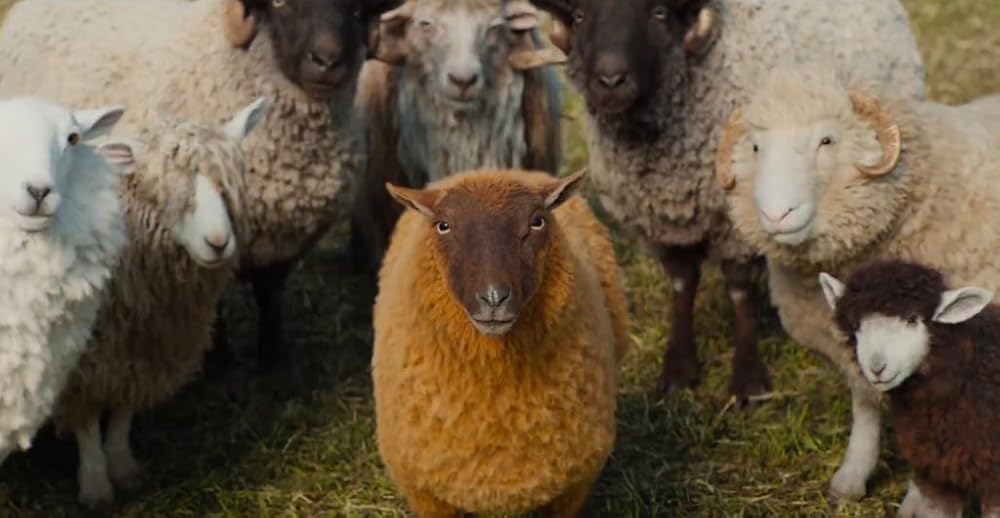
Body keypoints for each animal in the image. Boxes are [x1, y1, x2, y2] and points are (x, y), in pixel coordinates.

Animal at [0, 0, 403, 374]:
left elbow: (270, 294)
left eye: (356, 9)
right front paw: (218, 360)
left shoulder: (285, 239)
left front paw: (275, 359)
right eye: (279, 4)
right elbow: (215, 301)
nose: (327, 61)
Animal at [48, 98, 267, 510]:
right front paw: (96, 486)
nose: (218, 242)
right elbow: (87, 423)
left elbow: (123, 413)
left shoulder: (145, 348)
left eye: (230, 185)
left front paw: (123, 468)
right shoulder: (80, 362)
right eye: (163, 187)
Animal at [522, 0, 927, 411]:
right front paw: (679, 372)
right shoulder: (663, 224)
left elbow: (738, 290)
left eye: (658, 14)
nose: (610, 80)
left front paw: (748, 382)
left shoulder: (737, 222)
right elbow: (682, 284)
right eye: (579, 17)